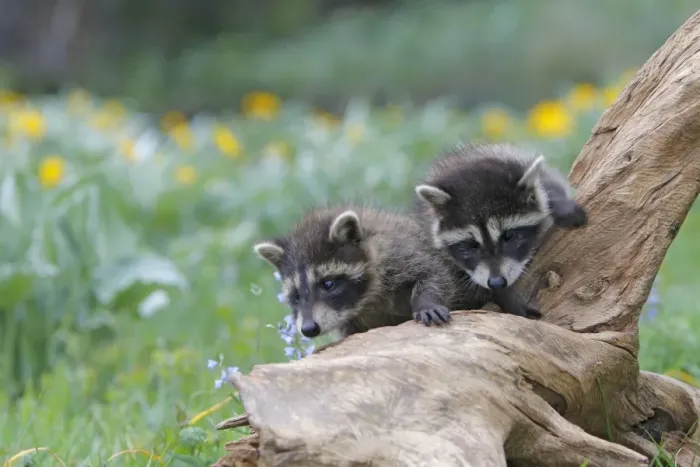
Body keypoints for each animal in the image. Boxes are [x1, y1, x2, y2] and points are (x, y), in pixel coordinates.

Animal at [252, 205, 465, 341]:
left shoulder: (398, 252)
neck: (363, 302)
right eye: (296, 296)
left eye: (328, 284)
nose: (308, 329)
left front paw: (427, 302)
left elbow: (433, 273)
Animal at [413, 142, 588, 319]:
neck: (468, 163)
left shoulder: (511, 158)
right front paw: (505, 296)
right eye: (472, 244)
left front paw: (561, 203)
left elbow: (547, 181)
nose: (496, 283)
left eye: (508, 236)